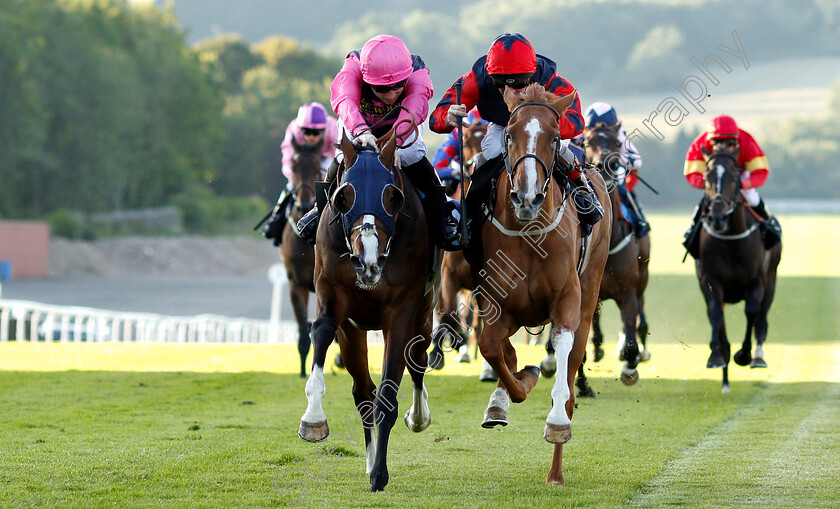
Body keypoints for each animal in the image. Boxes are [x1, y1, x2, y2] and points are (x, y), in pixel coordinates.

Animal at [298, 129, 436, 490]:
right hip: (353, 331)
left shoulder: (401, 311)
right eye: (344, 196)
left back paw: (418, 417)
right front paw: (313, 420)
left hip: (425, 313)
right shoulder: (334, 298)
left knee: (418, 360)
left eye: (393, 197)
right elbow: (321, 331)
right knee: (362, 393)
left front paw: (380, 474)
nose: (368, 261)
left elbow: (387, 393)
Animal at [472, 85, 612, 486]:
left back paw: (556, 470)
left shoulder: (567, 299)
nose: (527, 197)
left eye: (553, 136)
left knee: (571, 372)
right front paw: (509, 393)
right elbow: (493, 348)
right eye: (509, 133)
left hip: (590, 289)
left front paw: (556, 422)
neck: (529, 232)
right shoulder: (495, 301)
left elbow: (561, 346)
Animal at [696, 145, 780, 390]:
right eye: (707, 177)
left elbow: (751, 311)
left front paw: (744, 354)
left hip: (772, 279)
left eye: (734, 177)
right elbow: (715, 313)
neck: (730, 241)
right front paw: (717, 356)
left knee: (762, 318)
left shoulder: (757, 281)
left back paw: (758, 356)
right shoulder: (710, 281)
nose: (717, 217)